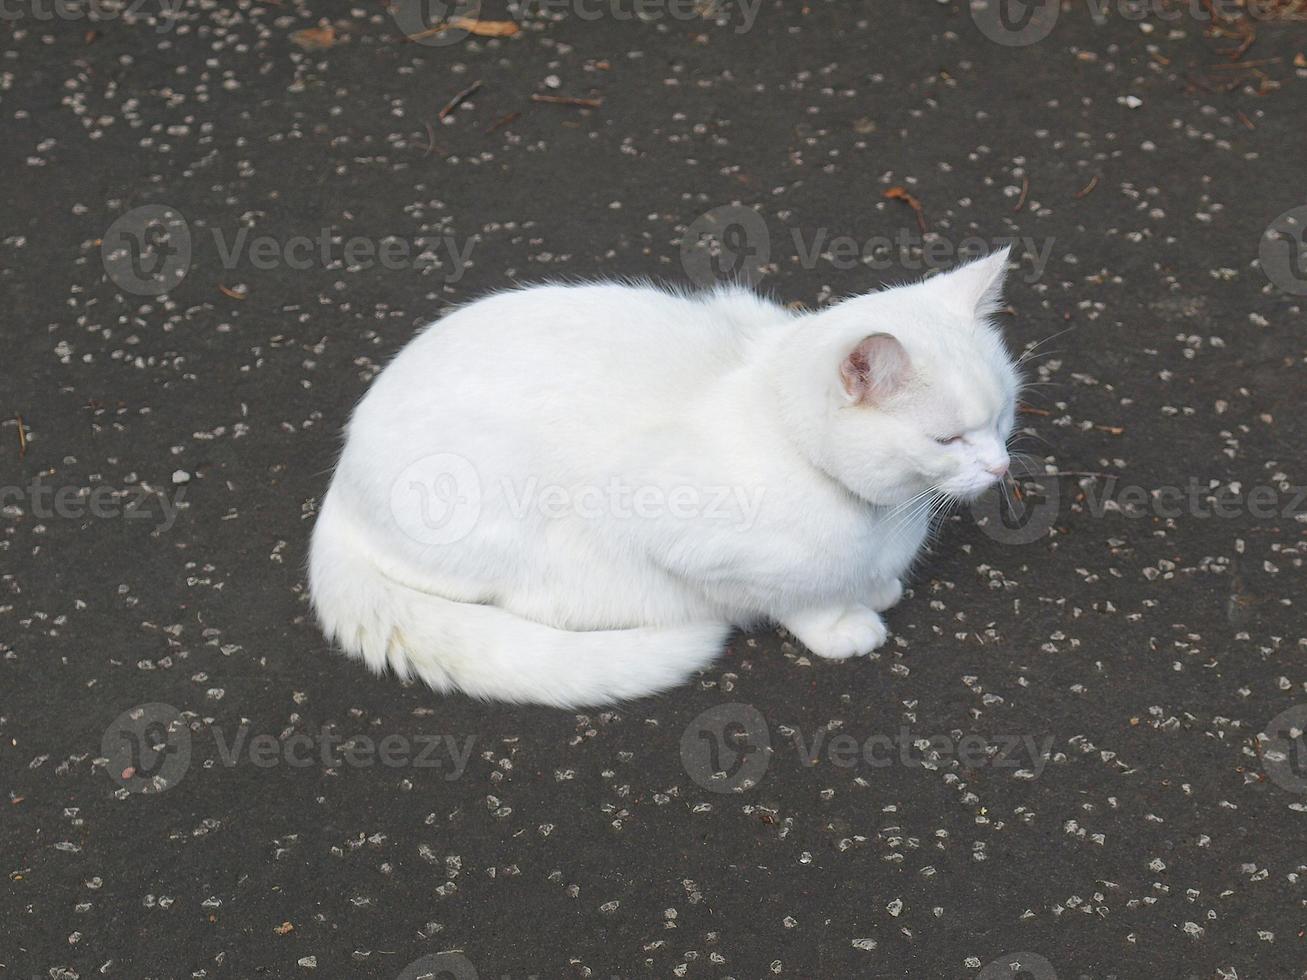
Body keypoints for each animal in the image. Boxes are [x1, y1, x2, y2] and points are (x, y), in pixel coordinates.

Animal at [308, 245, 1019, 705]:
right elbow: (794, 597)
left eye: (1004, 412)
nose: (1001, 464)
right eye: (948, 439)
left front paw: (873, 587)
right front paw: (840, 624)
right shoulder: (678, 533)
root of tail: (335, 489)